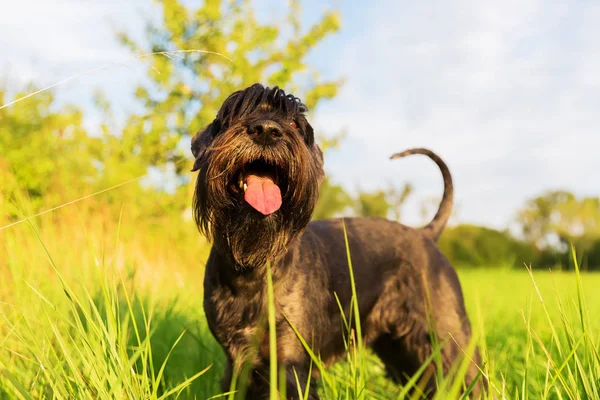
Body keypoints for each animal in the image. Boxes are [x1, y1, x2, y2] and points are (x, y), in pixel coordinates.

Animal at [192, 83, 488, 398]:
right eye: (236, 113)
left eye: (295, 123)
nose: (267, 130)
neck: (254, 266)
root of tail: (426, 233)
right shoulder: (237, 363)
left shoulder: (290, 364)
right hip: (398, 348)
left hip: (450, 334)